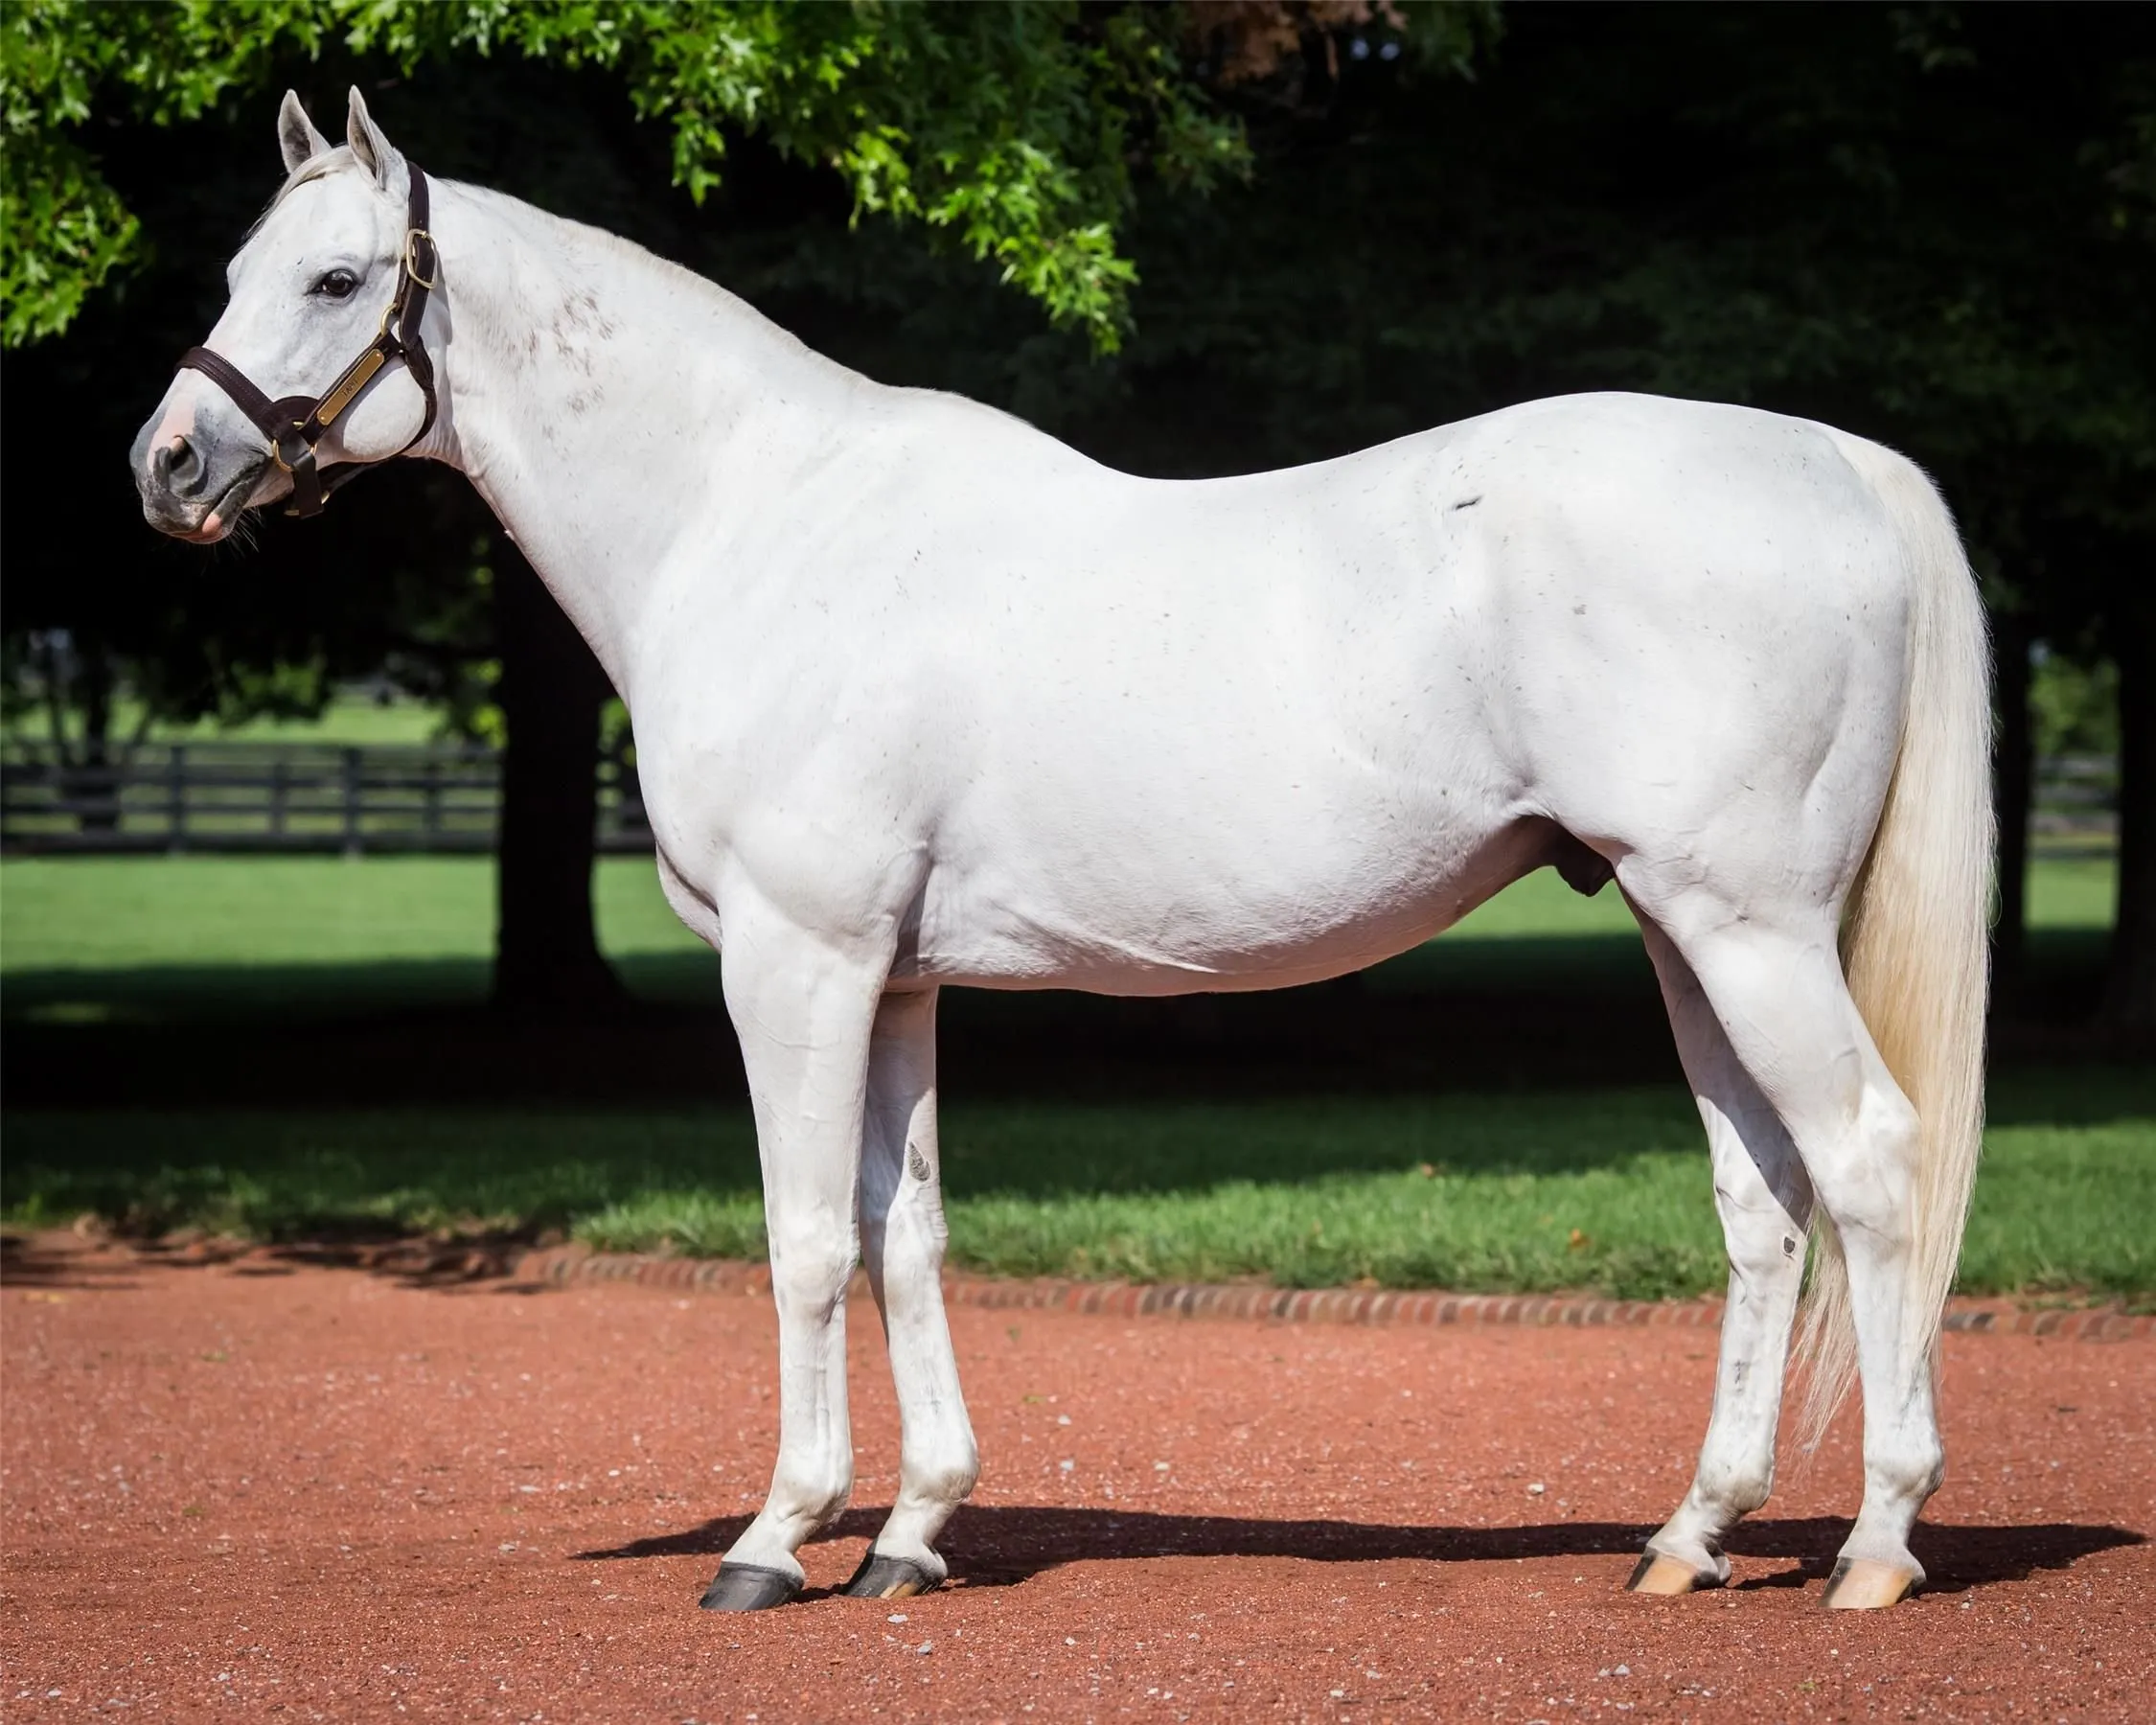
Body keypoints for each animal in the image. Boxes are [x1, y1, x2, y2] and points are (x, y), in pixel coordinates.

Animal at [130, 91, 1984, 1604]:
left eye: (335, 280)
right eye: (234, 266)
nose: (167, 466)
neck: (758, 521)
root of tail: (1835, 459)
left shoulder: (795, 962)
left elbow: (804, 1241)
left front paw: (775, 1538)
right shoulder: (891, 982)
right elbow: (906, 1233)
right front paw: (910, 1532)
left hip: (1747, 929)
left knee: (1872, 1162)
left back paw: (1876, 1544)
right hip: (1684, 933)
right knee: (1764, 1201)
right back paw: (1691, 1537)